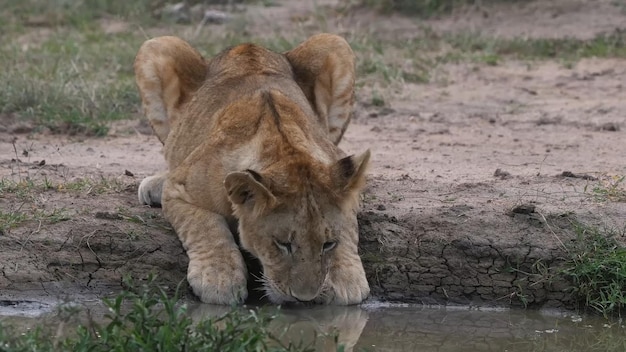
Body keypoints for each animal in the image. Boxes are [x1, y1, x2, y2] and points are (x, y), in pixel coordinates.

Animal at [133, 34, 368, 306]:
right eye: (283, 244)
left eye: (328, 244)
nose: (304, 298)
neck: (283, 145)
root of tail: (246, 45)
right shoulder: (179, 190)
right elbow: (205, 226)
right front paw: (219, 278)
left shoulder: (341, 171)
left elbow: (349, 230)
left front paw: (346, 279)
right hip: (158, 44)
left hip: (335, 43)